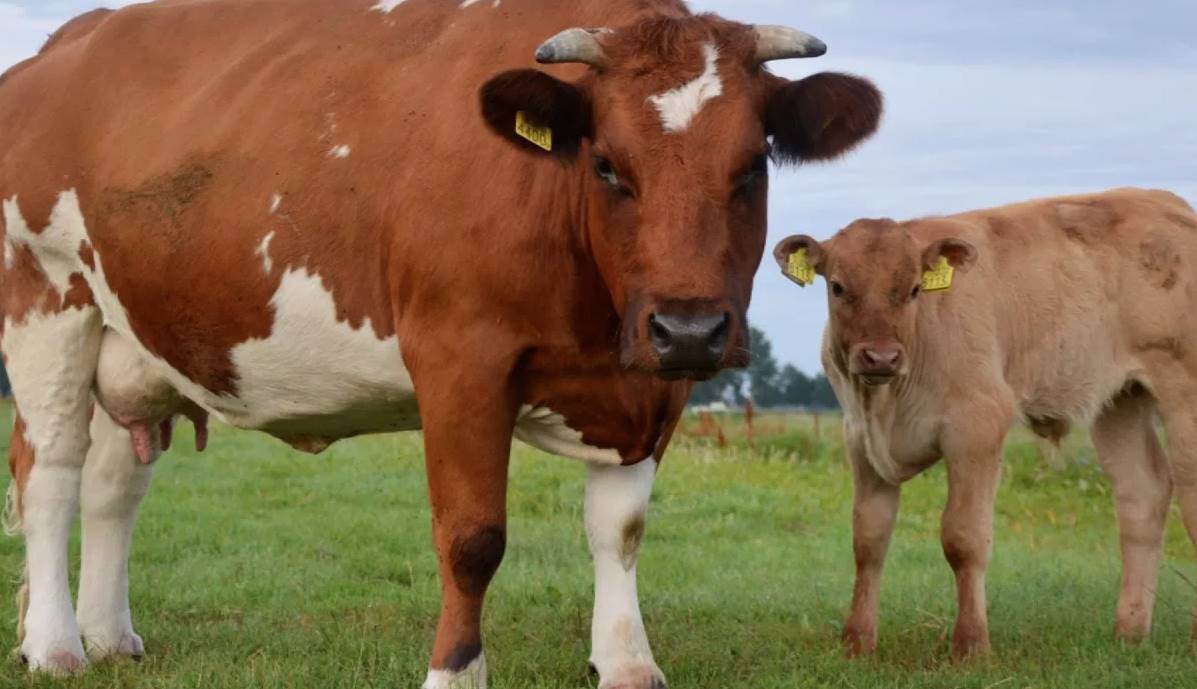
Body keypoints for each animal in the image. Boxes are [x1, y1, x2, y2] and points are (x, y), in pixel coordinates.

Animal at [0, 0, 882, 685]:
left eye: (751, 168)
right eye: (605, 165)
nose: (690, 327)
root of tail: (52, 53)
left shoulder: (649, 384)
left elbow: (621, 528)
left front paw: (627, 662)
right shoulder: (461, 360)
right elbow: (470, 538)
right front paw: (454, 671)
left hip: (128, 339)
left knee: (113, 485)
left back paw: (109, 636)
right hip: (46, 301)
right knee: (50, 475)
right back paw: (55, 646)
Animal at [773, 188, 1197, 659]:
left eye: (915, 289)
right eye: (838, 286)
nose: (881, 357)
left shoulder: (977, 426)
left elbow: (964, 538)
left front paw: (971, 645)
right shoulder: (860, 439)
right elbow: (868, 539)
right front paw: (858, 641)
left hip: (1184, 393)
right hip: (1118, 400)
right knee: (1143, 493)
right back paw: (1129, 633)